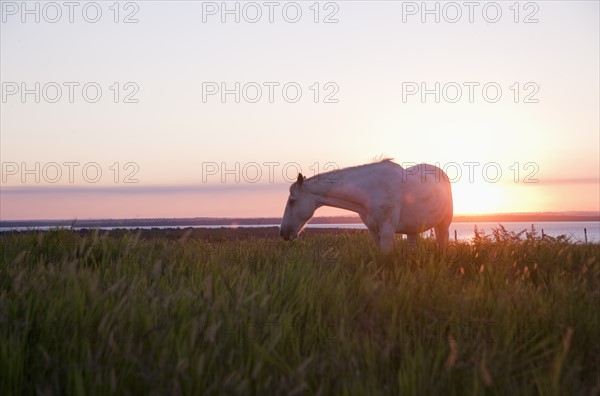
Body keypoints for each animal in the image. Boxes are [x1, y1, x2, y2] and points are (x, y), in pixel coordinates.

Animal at [278, 159, 452, 252]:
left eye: (292, 201)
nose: (283, 232)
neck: (370, 191)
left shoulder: (387, 231)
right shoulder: (374, 232)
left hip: (443, 224)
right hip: (412, 229)